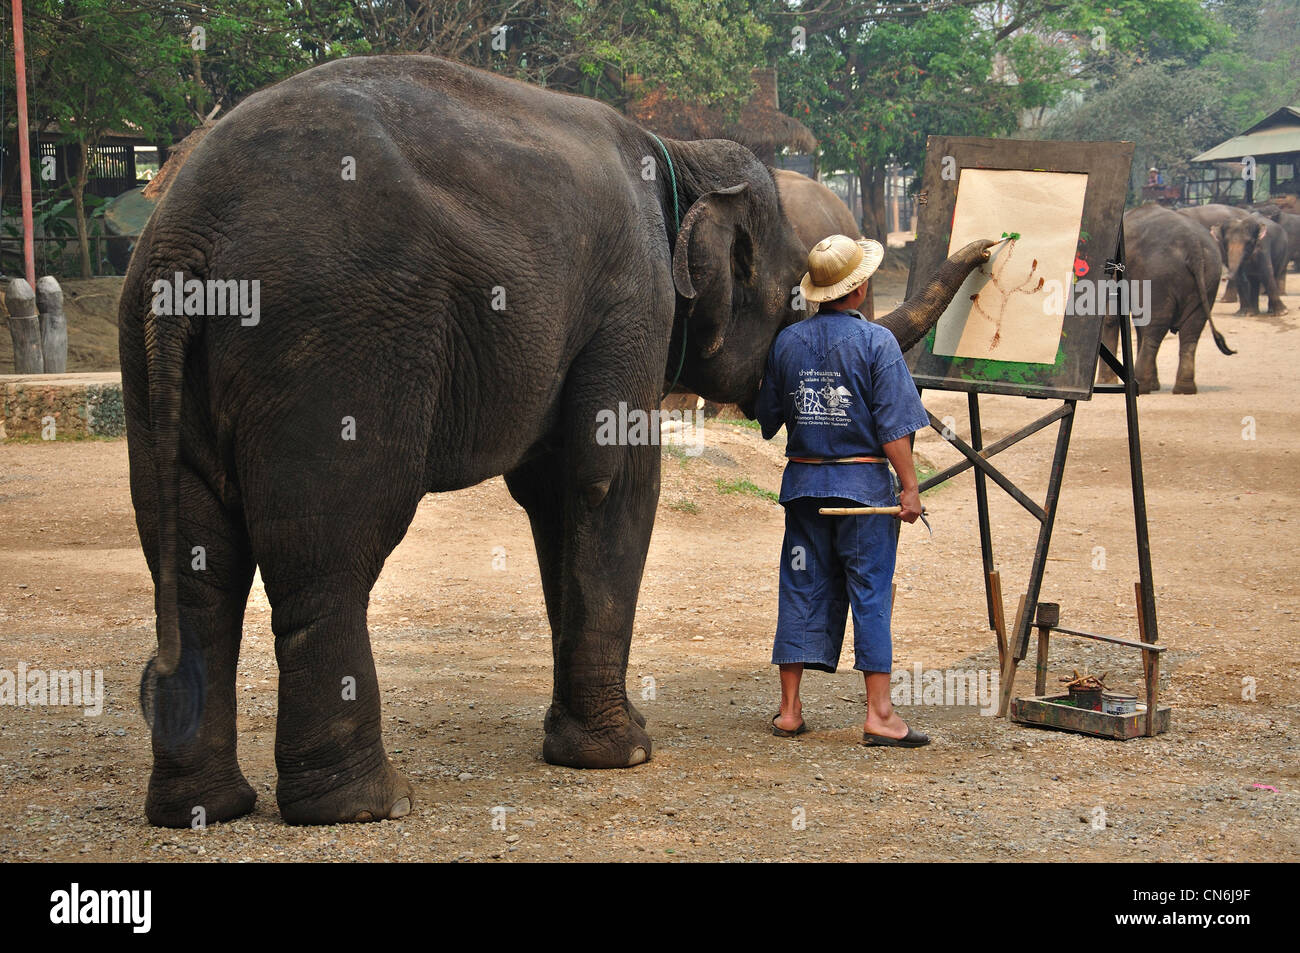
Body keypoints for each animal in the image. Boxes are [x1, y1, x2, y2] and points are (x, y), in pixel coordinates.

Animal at [120, 54, 994, 827]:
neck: (678, 154)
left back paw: (204, 807)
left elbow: (552, 497)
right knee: (328, 556)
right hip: (336, 345)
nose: (991, 248)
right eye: (794, 298)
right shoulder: (633, 300)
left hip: (155, 360)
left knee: (195, 565)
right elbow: (608, 480)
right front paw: (625, 753)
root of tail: (186, 231)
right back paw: (367, 805)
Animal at [1100, 204, 1233, 394]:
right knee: (1191, 330)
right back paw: (1183, 389)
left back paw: (1143, 386)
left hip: (1158, 277)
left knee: (1155, 326)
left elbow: (1112, 318)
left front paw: (1107, 383)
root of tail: (1194, 246)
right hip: (1209, 278)